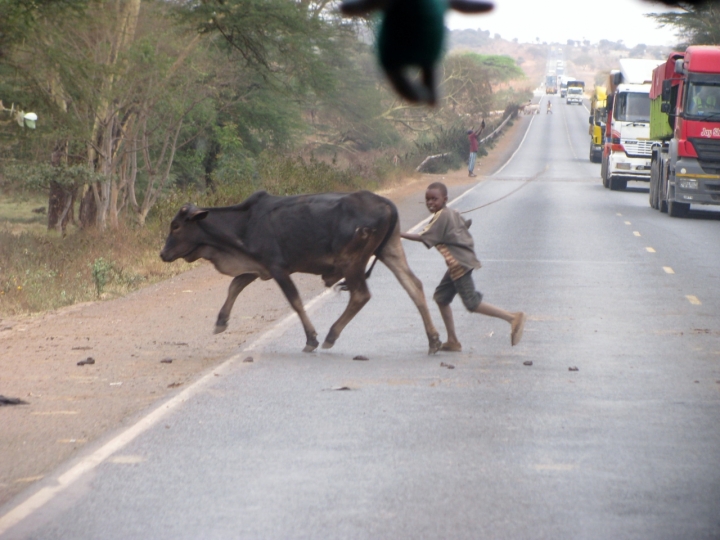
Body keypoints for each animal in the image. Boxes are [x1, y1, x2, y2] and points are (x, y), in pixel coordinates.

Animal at [160, 190, 442, 354]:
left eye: (176, 226)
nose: (162, 254)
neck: (244, 223)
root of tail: (386, 203)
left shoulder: (278, 268)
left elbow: (295, 302)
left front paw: (311, 338)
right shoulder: (259, 267)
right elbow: (235, 285)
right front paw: (221, 321)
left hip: (352, 262)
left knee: (361, 295)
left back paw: (331, 335)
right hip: (390, 250)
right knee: (414, 285)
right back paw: (433, 340)